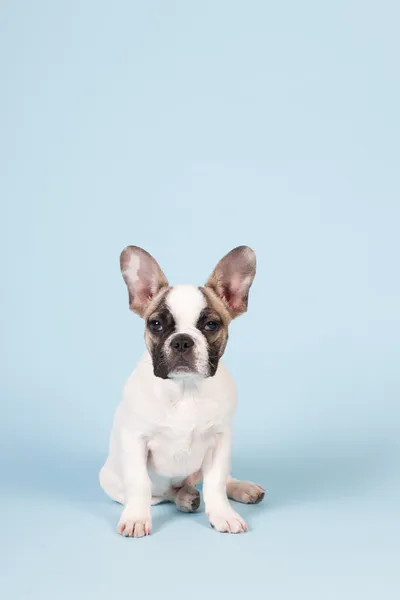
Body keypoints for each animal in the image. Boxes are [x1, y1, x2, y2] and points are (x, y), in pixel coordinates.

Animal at [100, 246, 264, 536]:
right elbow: (139, 483)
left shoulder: (220, 441)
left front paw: (223, 514)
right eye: (155, 324)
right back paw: (185, 498)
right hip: (111, 481)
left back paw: (240, 488)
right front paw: (136, 518)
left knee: (214, 480)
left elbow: (215, 482)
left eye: (211, 325)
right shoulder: (135, 439)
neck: (186, 389)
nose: (182, 341)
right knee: (163, 494)